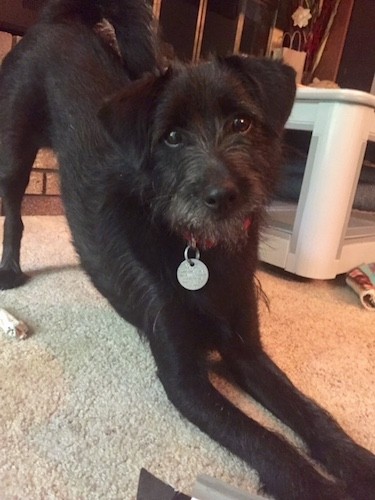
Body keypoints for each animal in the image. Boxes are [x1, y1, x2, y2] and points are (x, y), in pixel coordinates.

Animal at [0, 0, 375, 500]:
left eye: (241, 122)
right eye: (173, 137)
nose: (223, 195)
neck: (198, 249)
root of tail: (58, 20)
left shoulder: (247, 351)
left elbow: (308, 412)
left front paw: (356, 462)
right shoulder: (184, 380)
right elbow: (264, 439)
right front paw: (316, 487)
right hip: (13, 148)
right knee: (14, 212)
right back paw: (10, 271)